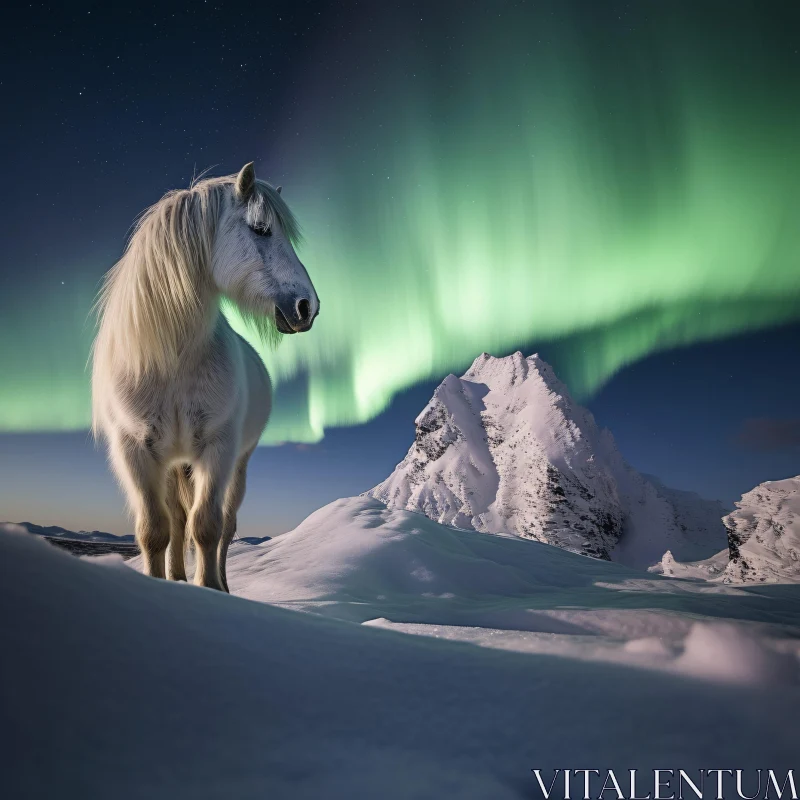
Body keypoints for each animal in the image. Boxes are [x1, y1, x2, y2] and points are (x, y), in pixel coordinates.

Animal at [92, 162, 318, 592]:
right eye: (261, 229)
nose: (307, 307)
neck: (171, 363)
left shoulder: (219, 449)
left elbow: (208, 528)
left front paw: (211, 589)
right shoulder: (135, 451)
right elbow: (155, 530)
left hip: (237, 466)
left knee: (225, 527)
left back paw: (223, 583)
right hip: (173, 465)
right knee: (177, 522)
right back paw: (178, 576)